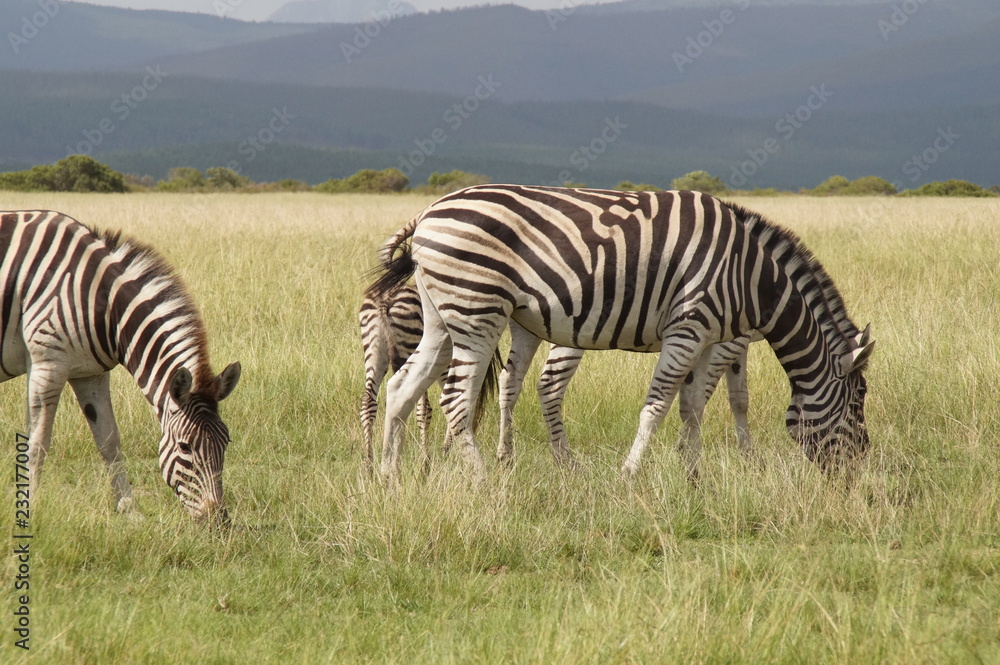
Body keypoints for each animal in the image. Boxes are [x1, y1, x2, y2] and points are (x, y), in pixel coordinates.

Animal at [1, 210, 241, 522]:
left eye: (226, 441)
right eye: (185, 446)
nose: (217, 519)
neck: (103, 303)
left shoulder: (91, 373)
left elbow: (109, 440)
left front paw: (130, 511)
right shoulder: (47, 364)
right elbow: (37, 444)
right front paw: (30, 504)